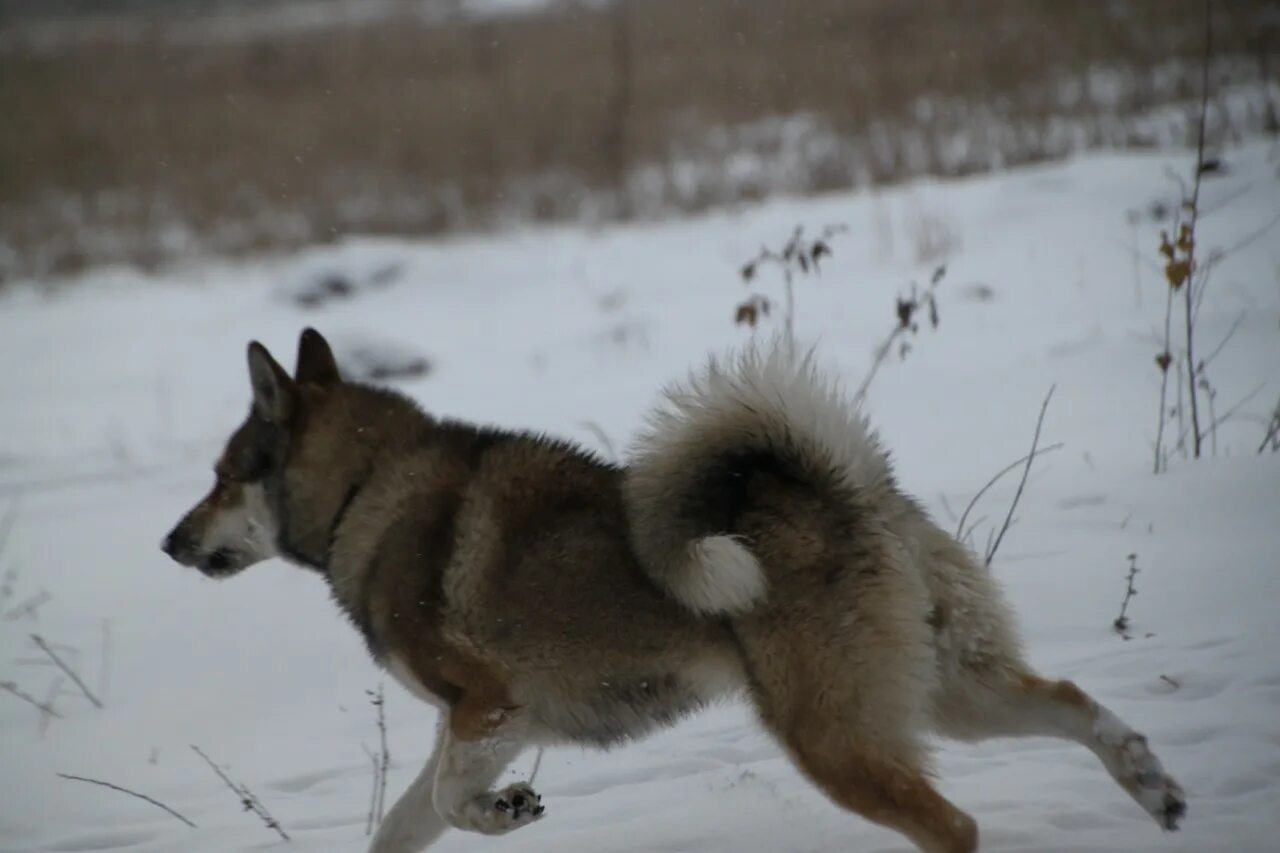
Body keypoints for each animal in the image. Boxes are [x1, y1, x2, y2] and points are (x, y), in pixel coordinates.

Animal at [165, 327, 1182, 845]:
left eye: (220, 475)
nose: (170, 541)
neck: (365, 490)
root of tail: (847, 489)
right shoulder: (495, 723)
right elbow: (408, 819)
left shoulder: (485, 706)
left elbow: (452, 802)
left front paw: (505, 811)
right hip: (943, 695)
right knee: (1075, 703)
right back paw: (1154, 786)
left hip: (831, 736)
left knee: (955, 824)